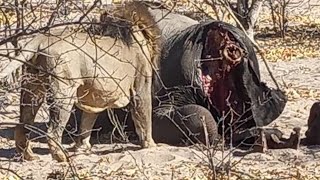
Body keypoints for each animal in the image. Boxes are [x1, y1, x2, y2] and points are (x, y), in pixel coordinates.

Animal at [0, 1, 160, 162]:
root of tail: (41, 39)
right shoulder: (141, 86)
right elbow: (145, 116)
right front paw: (151, 145)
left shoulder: (94, 96)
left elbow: (87, 122)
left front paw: (83, 147)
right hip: (64, 92)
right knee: (52, 131)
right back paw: (61, 156)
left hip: (32, 89)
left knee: (22, 125)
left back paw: (29, 155)